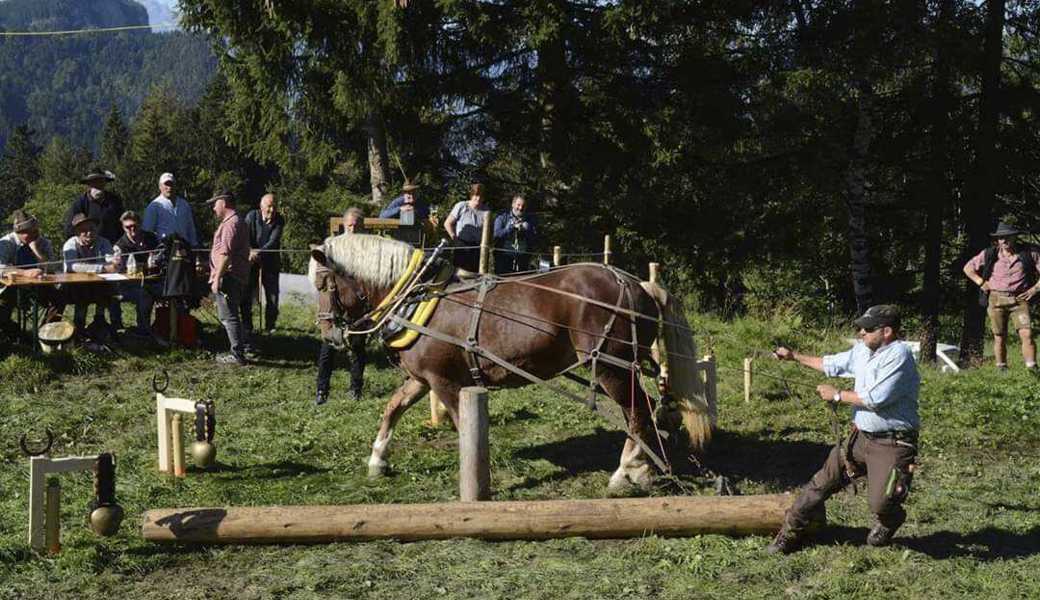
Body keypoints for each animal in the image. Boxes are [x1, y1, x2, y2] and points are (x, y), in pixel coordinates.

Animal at [307, 233, 715, 490]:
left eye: (324, 284)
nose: (329, 335)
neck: (418, 296)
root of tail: (638, 284)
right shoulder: (423, 378)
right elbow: (393, 408)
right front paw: (378, 460)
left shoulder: (445, 382)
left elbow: (463, 426)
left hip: (612, 367)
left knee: (638, 411)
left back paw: (627, 471)